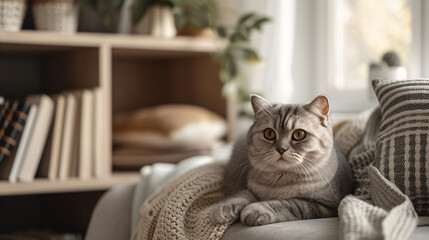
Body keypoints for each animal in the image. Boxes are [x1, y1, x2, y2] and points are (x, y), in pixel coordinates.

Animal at [209, 94, 352, 226]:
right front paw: (226, 207)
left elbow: (289, 204)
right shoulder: (249, 186)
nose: (281, 149)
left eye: (299, 134)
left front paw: (257, 209)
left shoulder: (325, 206)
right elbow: (243, 193)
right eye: (269, 134)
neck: (279, 181)